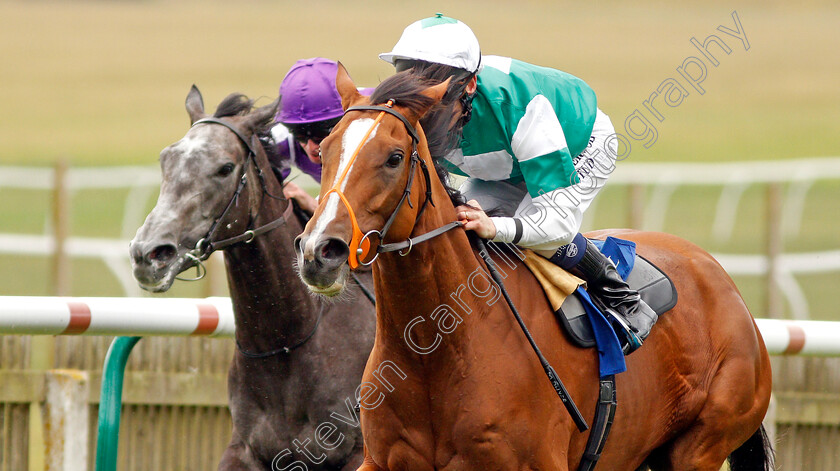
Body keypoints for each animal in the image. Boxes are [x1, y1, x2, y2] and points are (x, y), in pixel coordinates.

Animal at [130, 86, 374, 470]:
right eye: (165, 159)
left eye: (225, 168)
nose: (148, 253)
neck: (286, 343)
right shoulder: (244, 450)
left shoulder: (358, 451)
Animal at [296, 66, 776, 471]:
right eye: (324, 150)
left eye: (394, 157)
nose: (321, 250)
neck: (437, 351)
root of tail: (723, 281)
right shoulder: (380, 461)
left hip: (701, 444)